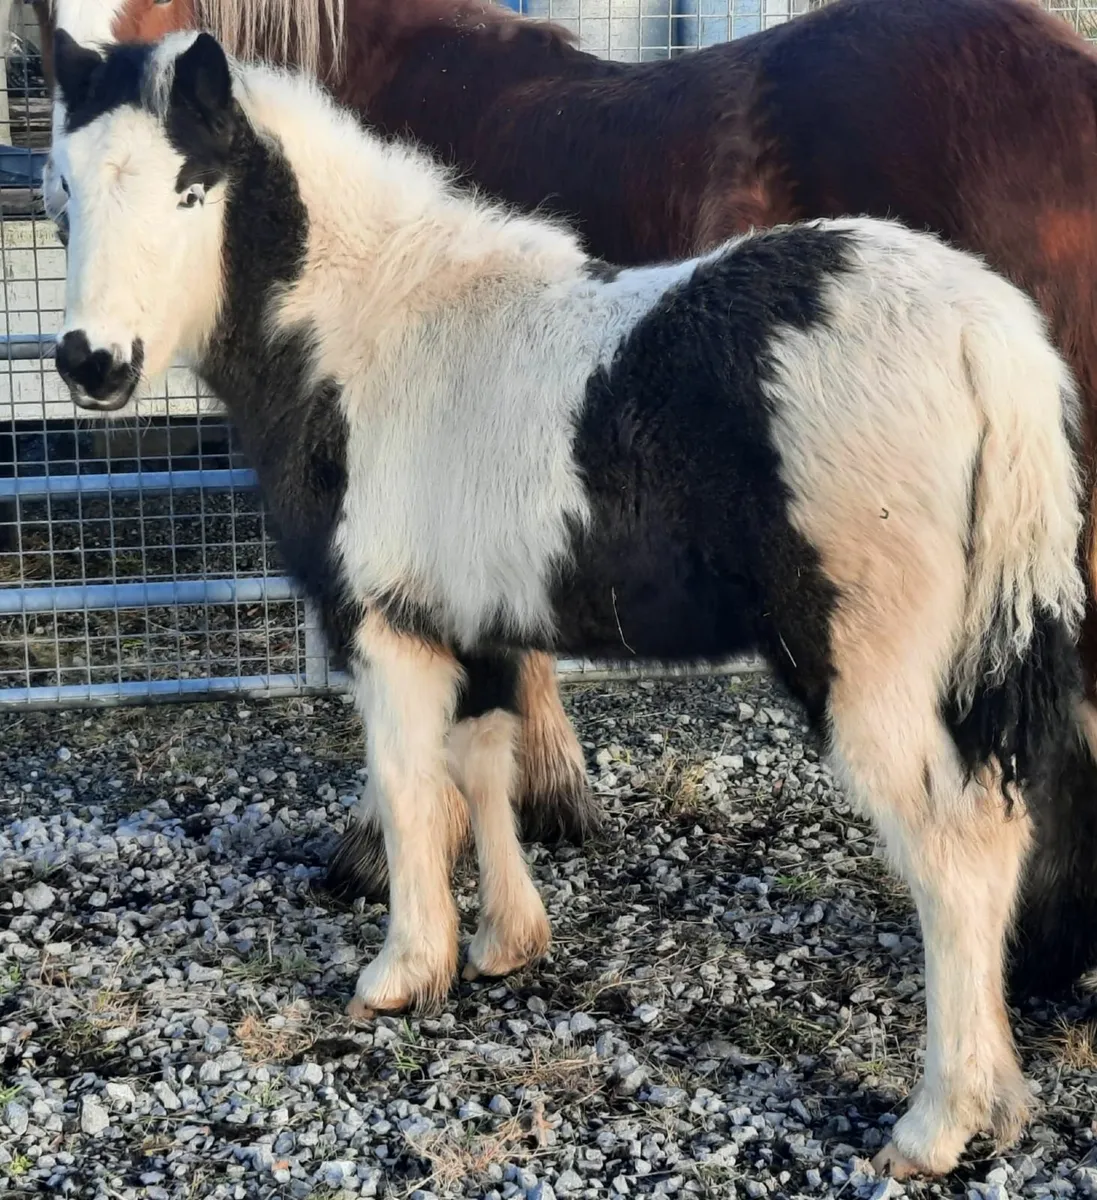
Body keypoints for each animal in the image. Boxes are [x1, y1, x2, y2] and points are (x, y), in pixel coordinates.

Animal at [49, 27, 1087, 1178]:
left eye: (191, 190)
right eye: (61, 190)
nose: (91, 363)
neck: (366, 332)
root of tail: (982, 332)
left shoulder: (383, 628)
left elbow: (409, 787)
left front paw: (401, 972)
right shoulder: (472, 624)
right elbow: (482, 766)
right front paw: (505, 945)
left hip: (870, 669)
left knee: (954, 852)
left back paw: (937, 1121)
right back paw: (1002, 1094)